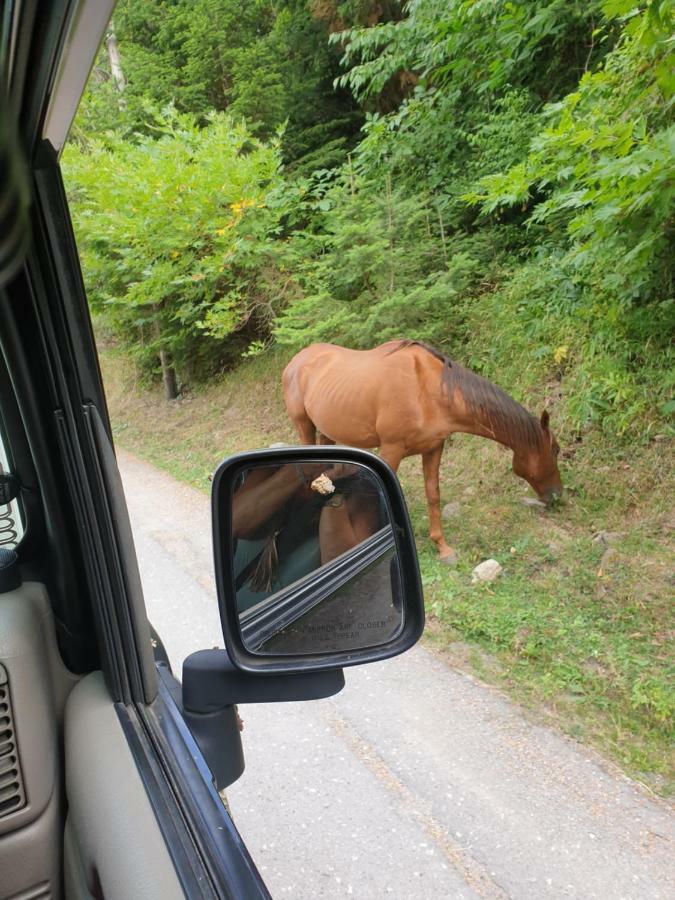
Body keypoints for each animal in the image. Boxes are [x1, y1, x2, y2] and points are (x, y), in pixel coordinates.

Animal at [282, 340, 564, 560]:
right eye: (556, 451)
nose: (557, 495)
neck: (426, 390)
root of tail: (296, 360)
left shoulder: (433, 449)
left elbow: (433, 494)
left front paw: (442, 546)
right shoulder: (391, 450)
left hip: (327, 429)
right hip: (304, 425)